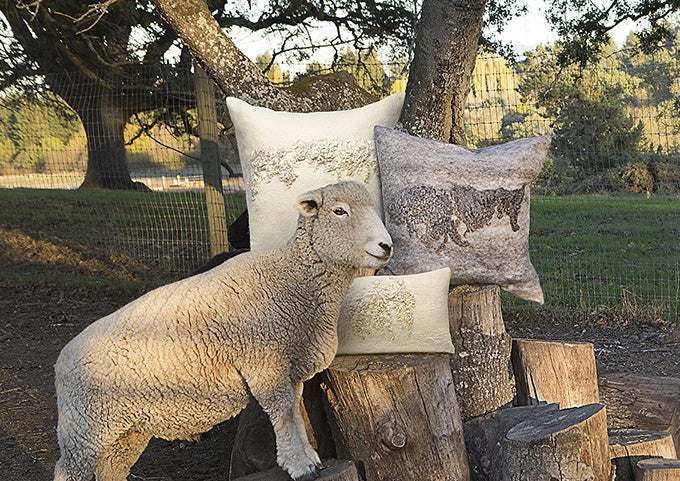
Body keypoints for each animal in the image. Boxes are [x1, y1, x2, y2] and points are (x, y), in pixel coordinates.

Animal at [53, 180, 394, 480]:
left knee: (112, 469)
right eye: (339, 211)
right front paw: (300, 466)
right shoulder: (265, 362)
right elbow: (283, 413)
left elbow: (295, 412)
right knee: (67, 471)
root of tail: (60, 361)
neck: (291, 278)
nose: (386, 246)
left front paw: (308, 457)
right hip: (84, 426)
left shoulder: (291, 367)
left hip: (128, 429)